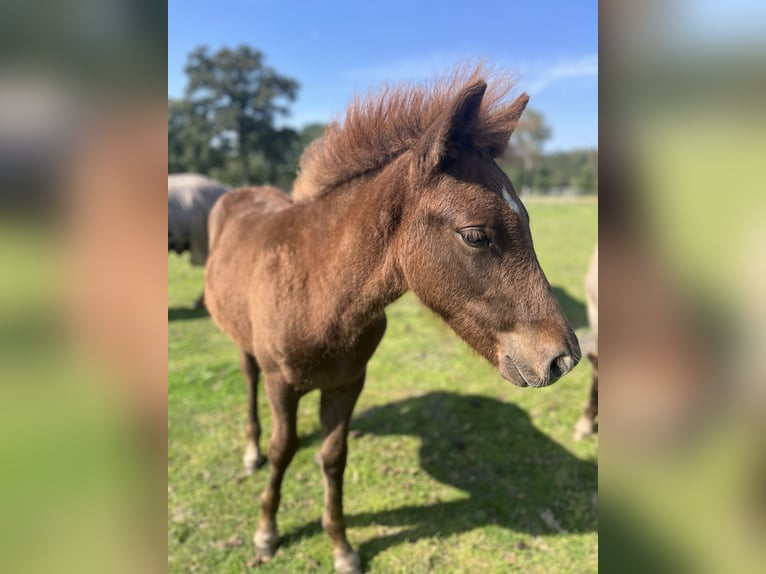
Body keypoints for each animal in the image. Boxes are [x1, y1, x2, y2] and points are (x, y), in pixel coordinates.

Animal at [204, 68, 584, 574]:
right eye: (475, 235)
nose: (563, 359)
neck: (319, 290)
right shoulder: (281, 383)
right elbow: (283, 451)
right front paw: (266, 533)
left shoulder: (348, 382)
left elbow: (333, 457)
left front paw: (341, 546)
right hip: (246, 346)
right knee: (248, 379)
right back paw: (249, 454)